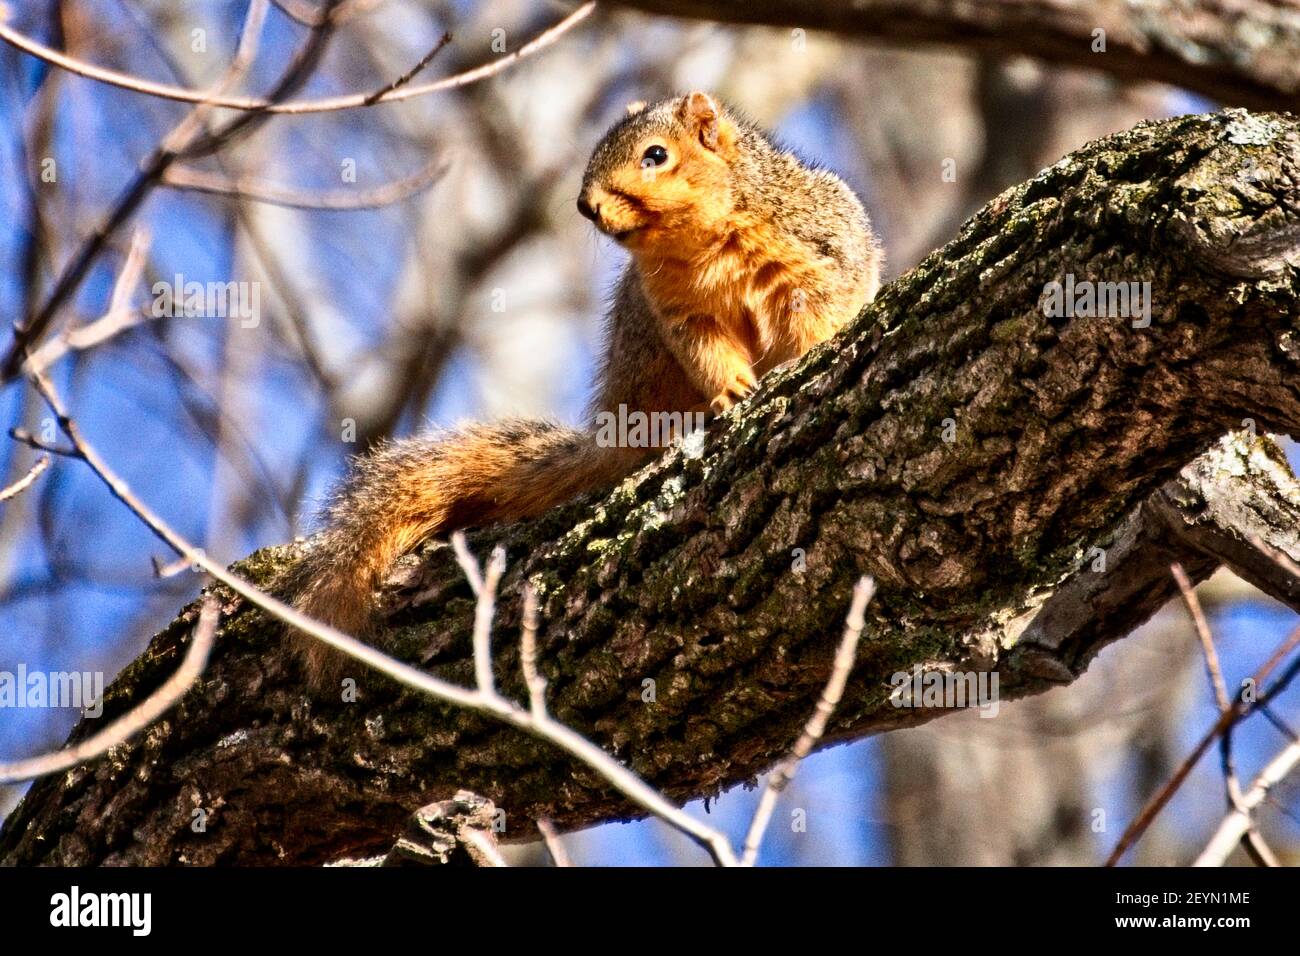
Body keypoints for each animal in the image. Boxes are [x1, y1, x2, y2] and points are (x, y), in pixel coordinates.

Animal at [292, 91, 883, 686]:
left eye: (655, 155)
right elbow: (708, 352)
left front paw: (810, 352)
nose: (585, 205)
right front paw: (732, 391)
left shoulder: (812, 259)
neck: (701, 242)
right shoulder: (680, 313)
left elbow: (818, 317)